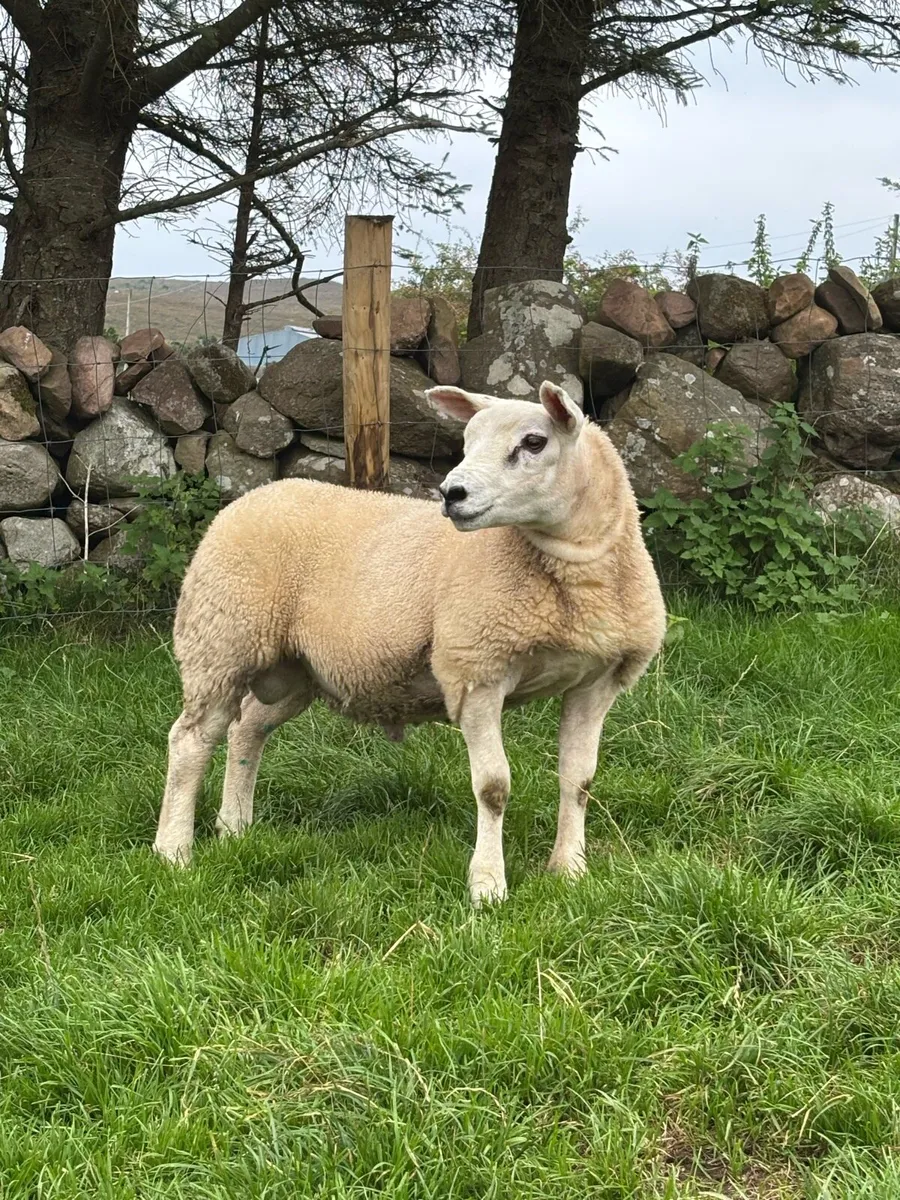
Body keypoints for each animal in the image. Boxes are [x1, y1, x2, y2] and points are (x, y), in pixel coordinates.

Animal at [153, 380, 666, 904]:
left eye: (534, 442)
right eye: (467, 440)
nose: (452, 494)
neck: (575, 570)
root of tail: (255, 494)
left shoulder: (596, 682)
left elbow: (579, 780)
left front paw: (570, 870)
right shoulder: (475, 671)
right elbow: (493, 787)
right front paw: (488, 885)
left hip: (295, 668)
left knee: (247, 729)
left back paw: (234, 826)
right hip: (220, 640)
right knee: (191, 740)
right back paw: (173, 850)